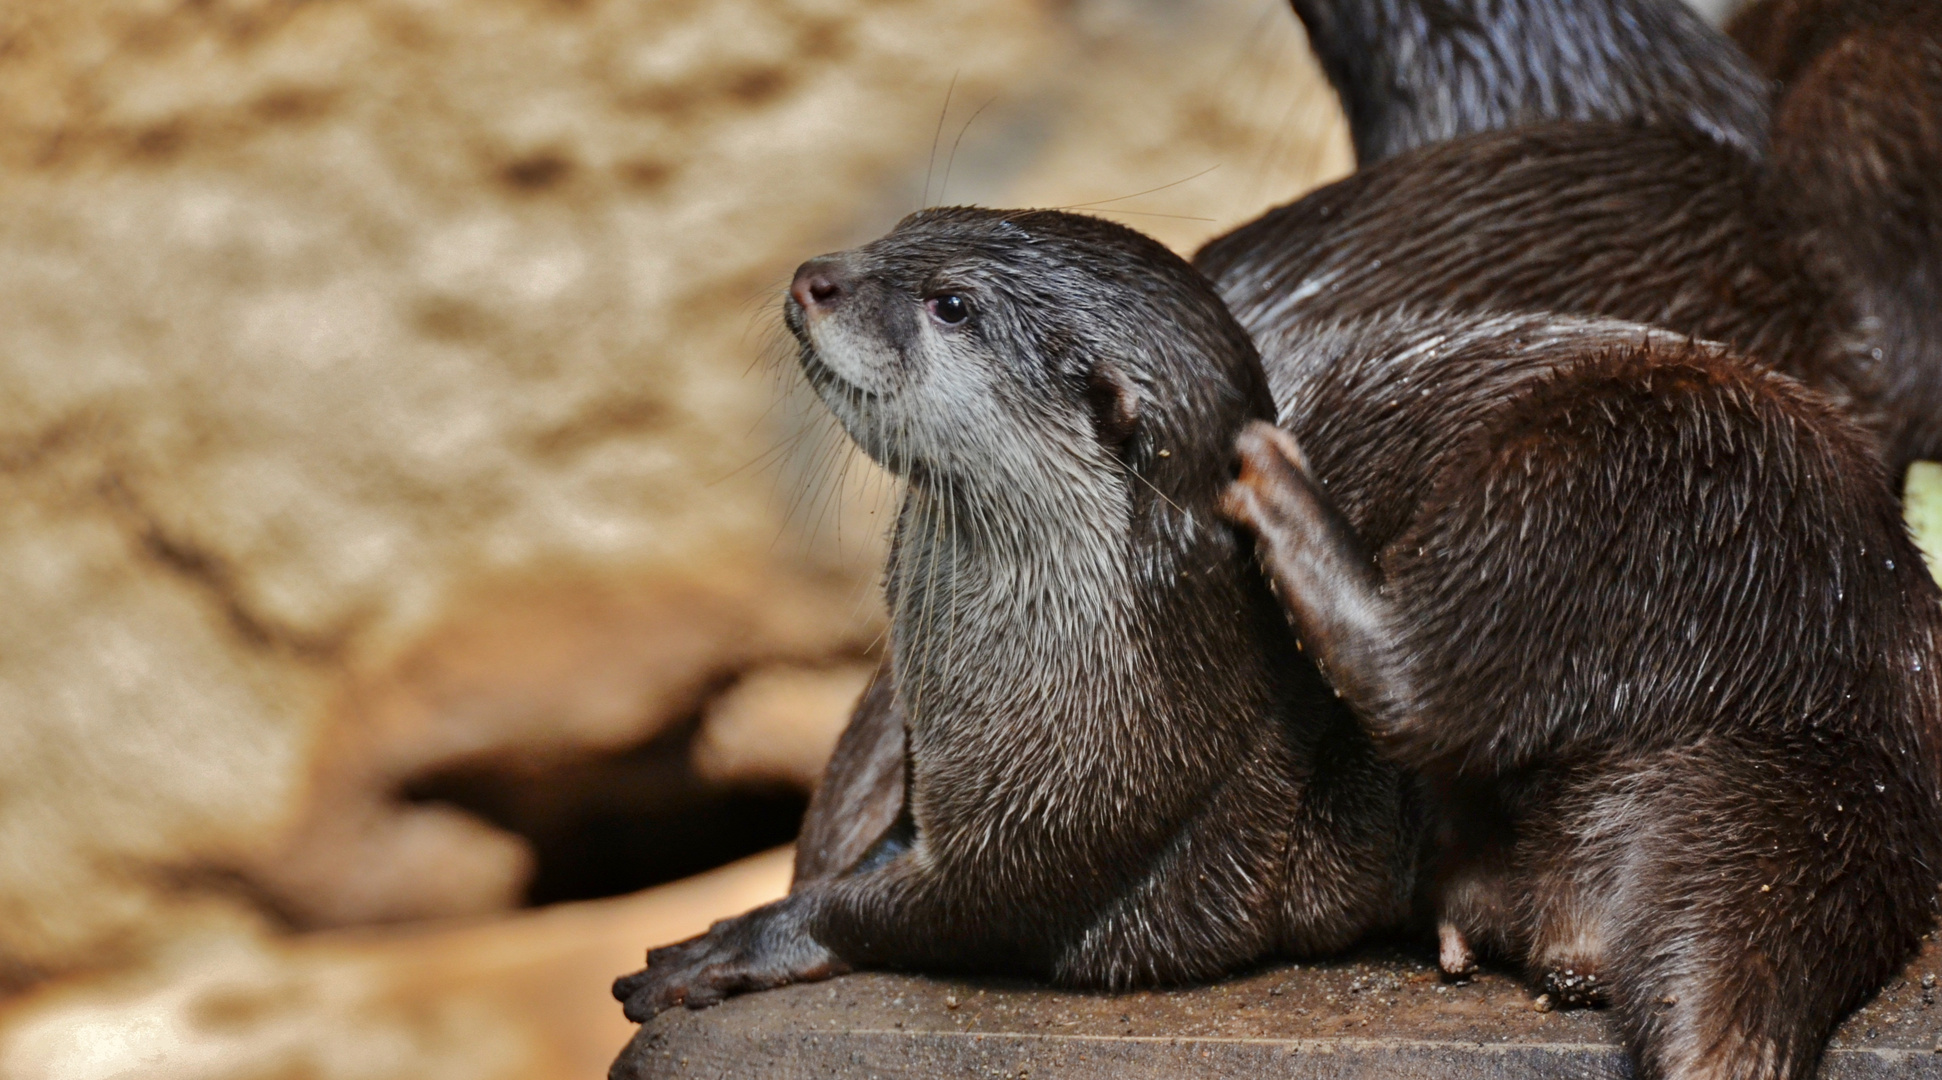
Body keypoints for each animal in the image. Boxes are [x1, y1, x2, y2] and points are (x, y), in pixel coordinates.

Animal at [613, 208, 1421, 1017]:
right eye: (908, 227)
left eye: (952, 306)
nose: (814, 276)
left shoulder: (1052, 843)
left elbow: (899, 914)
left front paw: (735, 943)